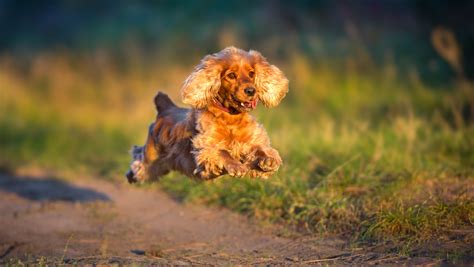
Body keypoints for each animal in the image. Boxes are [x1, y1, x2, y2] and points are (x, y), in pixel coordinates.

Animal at [126, 47, 286, 183]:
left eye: (252, 73)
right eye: (231, 75)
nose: (251, 91)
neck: (231, 119)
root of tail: (166, 108)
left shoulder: (252, 143)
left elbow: (260, 150)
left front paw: (269, 160)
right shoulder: (205, 149)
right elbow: (222, 152)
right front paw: (236, 166)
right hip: (151, 157)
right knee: (138, 160)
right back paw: (130, 176)